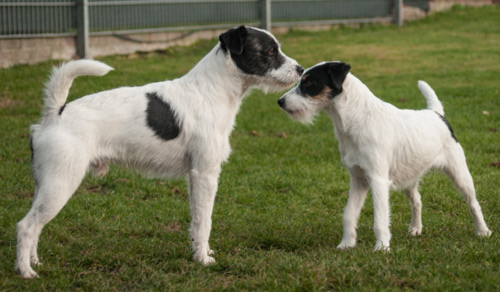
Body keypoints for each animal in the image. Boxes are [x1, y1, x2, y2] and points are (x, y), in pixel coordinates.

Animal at [16, 25, 304, 278]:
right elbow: (205, 221)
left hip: (46, 185)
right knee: (26, 226)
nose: (301, 70)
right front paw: (203, 260)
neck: (211, 90)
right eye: (269, 51)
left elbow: (196, 220)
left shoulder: (194, 176)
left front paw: (200, 253)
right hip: (61, 183)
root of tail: (55, 114)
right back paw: (26, 272)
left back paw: (35, 261)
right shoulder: (205, 174)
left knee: (36, 225)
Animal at [278, 61, 492, 251]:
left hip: (459, 173)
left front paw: (382, 247)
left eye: (309, 82)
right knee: (417, 200)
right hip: (409, 176)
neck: (357, 119)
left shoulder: (378, 180)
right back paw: (416, 229)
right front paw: (346, 244)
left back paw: (483, 231)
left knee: (473, 203)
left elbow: (380, 219)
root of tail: (436, 114)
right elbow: (349, 214)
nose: (280, 102)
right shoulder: (358, 180)